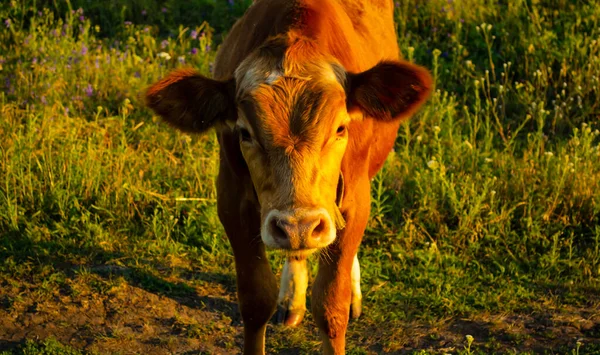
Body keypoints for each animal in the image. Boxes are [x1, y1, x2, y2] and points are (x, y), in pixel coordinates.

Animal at [145, 0, 432, 355]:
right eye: (245, 132)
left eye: (341, 128)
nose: (298, 225)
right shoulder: (231, 200)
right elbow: (255, 300)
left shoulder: (354, 200)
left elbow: (331, 306)